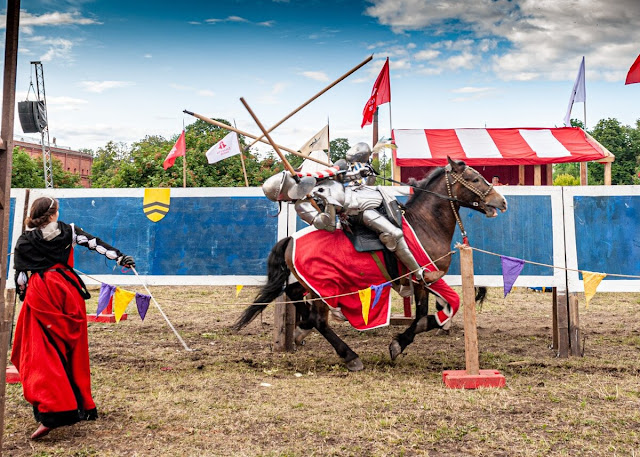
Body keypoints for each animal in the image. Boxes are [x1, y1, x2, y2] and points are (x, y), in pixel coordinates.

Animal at [232, 157, 508, 370]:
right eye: (474, 179)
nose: (501, 201)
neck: (426, 223)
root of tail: (289, 239)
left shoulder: (429, 280)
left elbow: (443, 308)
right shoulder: (422, 279)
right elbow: (422, 316)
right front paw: (398, 344)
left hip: (308, 284)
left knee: (296, 297)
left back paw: (303, 329)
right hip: (324, 287)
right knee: (320, 320)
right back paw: (349, 356)